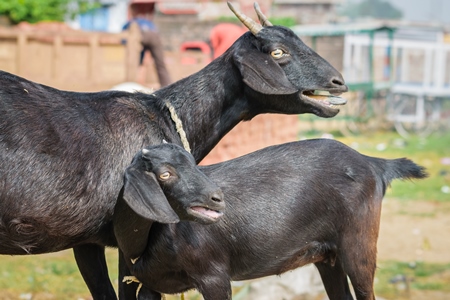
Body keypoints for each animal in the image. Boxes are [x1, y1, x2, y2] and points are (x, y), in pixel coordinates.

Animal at [114, 139, 428, 300]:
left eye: (193, 162)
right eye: (165, 173)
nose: (217, 197)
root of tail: (374, 164)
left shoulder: (213, 275)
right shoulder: (147, 285)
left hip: (359, 242)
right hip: (328, 256)